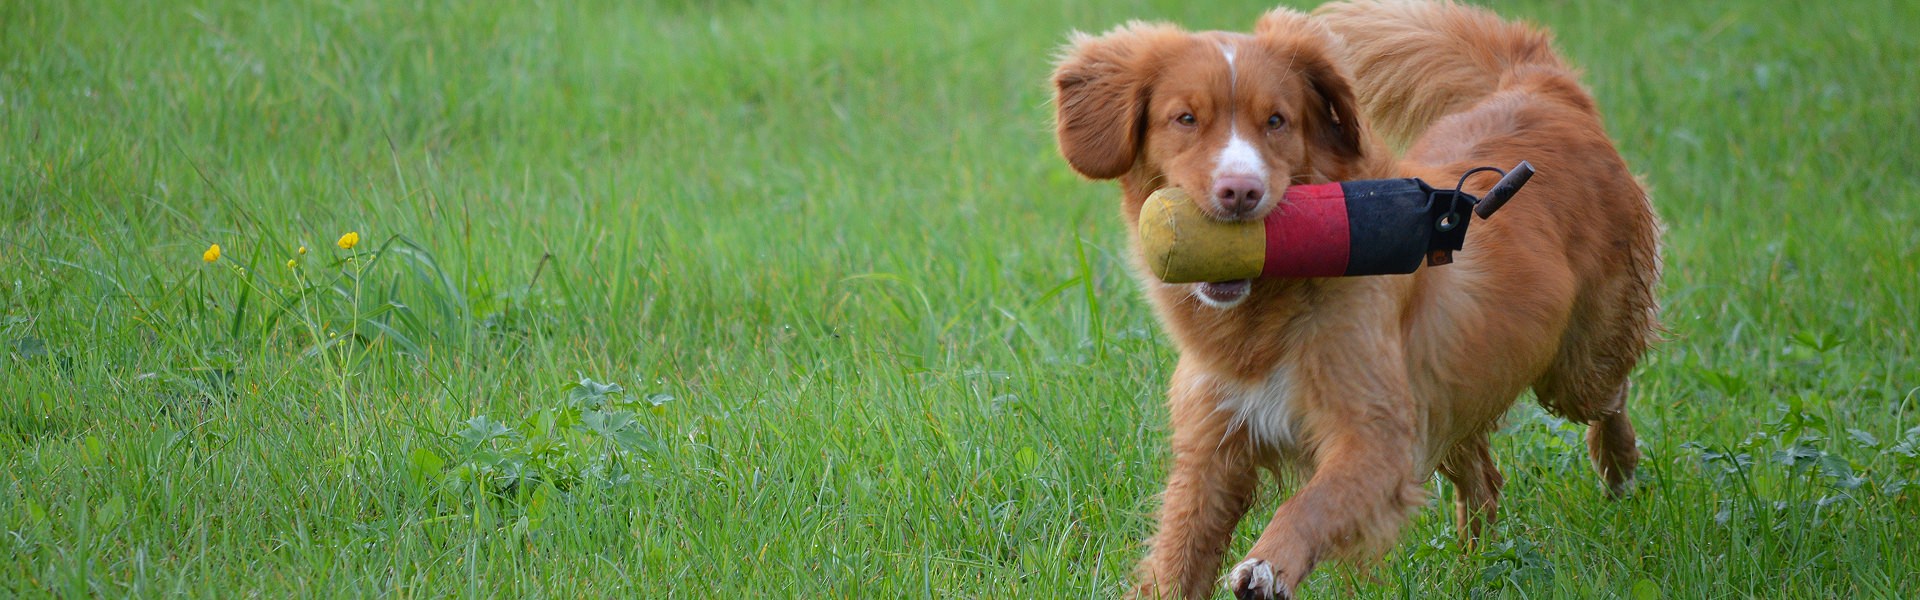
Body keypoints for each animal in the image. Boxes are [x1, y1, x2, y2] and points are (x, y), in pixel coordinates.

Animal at [1052, 1, 1666, 600]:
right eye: (1185, 119)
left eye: (1276, 121)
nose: (1241, 191)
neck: (1265, 313)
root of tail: (1540, 87)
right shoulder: (1213, 449)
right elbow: (1177, 558)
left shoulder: (1375, 436)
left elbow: (1309, 504)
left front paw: (1268, 565)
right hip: (1449, 389)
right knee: (1484, 479)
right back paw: (1475, 568)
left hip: (1571, 371)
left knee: (1609, 397)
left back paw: (1619, 469)